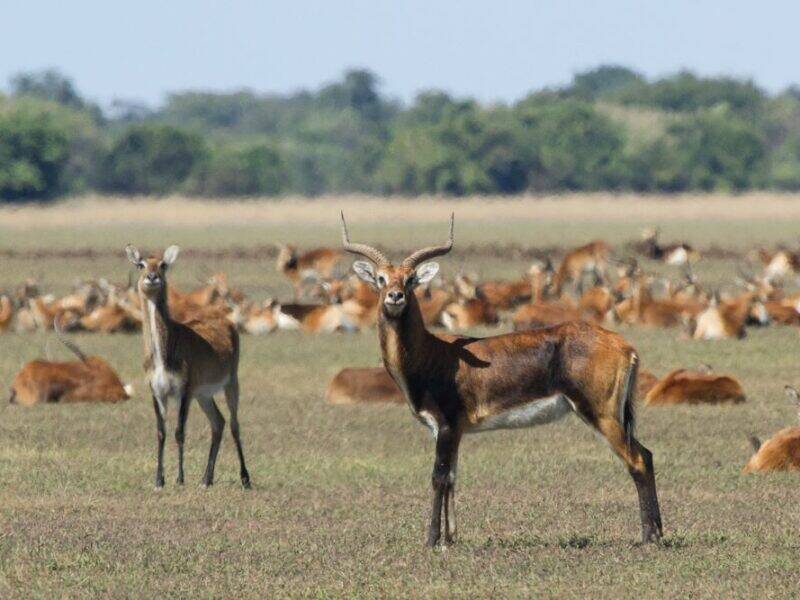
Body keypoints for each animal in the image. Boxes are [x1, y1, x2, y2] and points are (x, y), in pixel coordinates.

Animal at [125, 245, 251, 490]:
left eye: (163, 264)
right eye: (141, 264)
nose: (152, 277)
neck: (164, 352)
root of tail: (226, 320)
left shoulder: (184, 391)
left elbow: (179, 432)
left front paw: (180, 478)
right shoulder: (157, 391)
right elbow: (161, 432)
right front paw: (159, 481)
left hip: (231, 383)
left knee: (234, 425)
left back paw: (245, 478)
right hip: (203, 395)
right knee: (218, 423)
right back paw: (206, 479)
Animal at [340, 213, 662, 547]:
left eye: (411, 279)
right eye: (381, 278)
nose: (395, 296)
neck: (432, 354)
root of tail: (625, 346)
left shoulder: (446, 426)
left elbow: (438, 477)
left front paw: (431, 540)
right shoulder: (452, 431)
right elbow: (452, 477)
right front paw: (450, 539)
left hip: (601, 415)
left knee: (637, 461)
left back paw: (648, 537)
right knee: (647, 455)